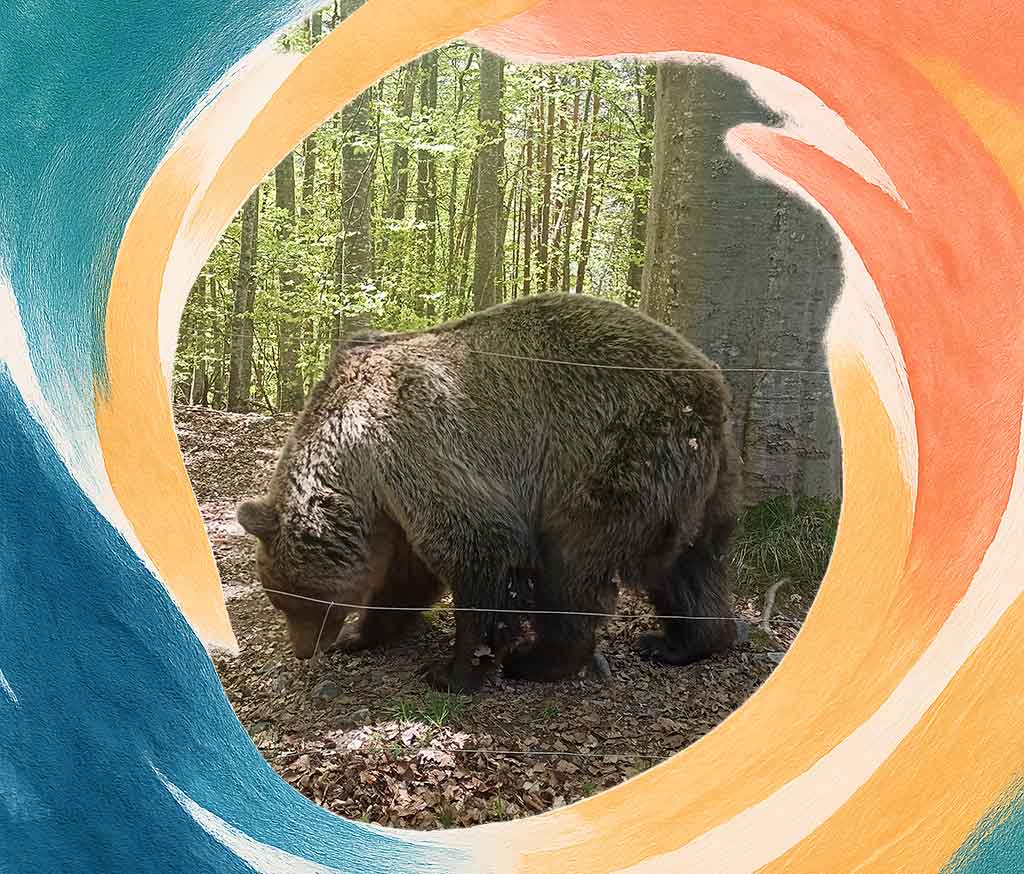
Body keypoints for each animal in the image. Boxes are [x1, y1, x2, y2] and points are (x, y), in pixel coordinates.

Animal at [237, 292, 744, 693]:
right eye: (280, 600)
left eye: (298, 600)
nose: (304, 651)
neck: (355, 465)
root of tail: (711, 387)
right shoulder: (393, 507)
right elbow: (404, 576)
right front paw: (360, 637)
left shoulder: (416, 447)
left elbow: (479, 550)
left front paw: (454, 670)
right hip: (705, 483)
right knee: (692, 565)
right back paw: (680, 643)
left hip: (609, 459)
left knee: (573, 567)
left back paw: (541, 660)